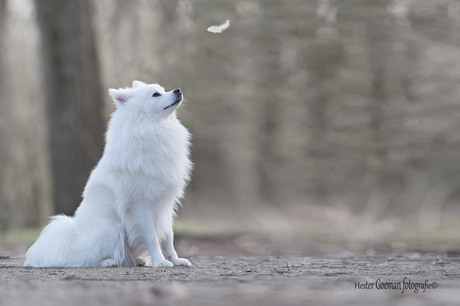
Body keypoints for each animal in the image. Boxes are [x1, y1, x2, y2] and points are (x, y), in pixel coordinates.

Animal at [23, 80, 192, 266]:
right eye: (156, 94)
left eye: (162, 89)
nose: (178, 90)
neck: (153, 127)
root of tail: (73, 240)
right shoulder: (141, 205)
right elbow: (152, 237)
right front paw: (160, 262)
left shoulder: (165, 204)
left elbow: (168, 237)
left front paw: (176, 260)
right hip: (112, 228)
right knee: (86, 259)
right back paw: (109, 262)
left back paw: (137, 260)